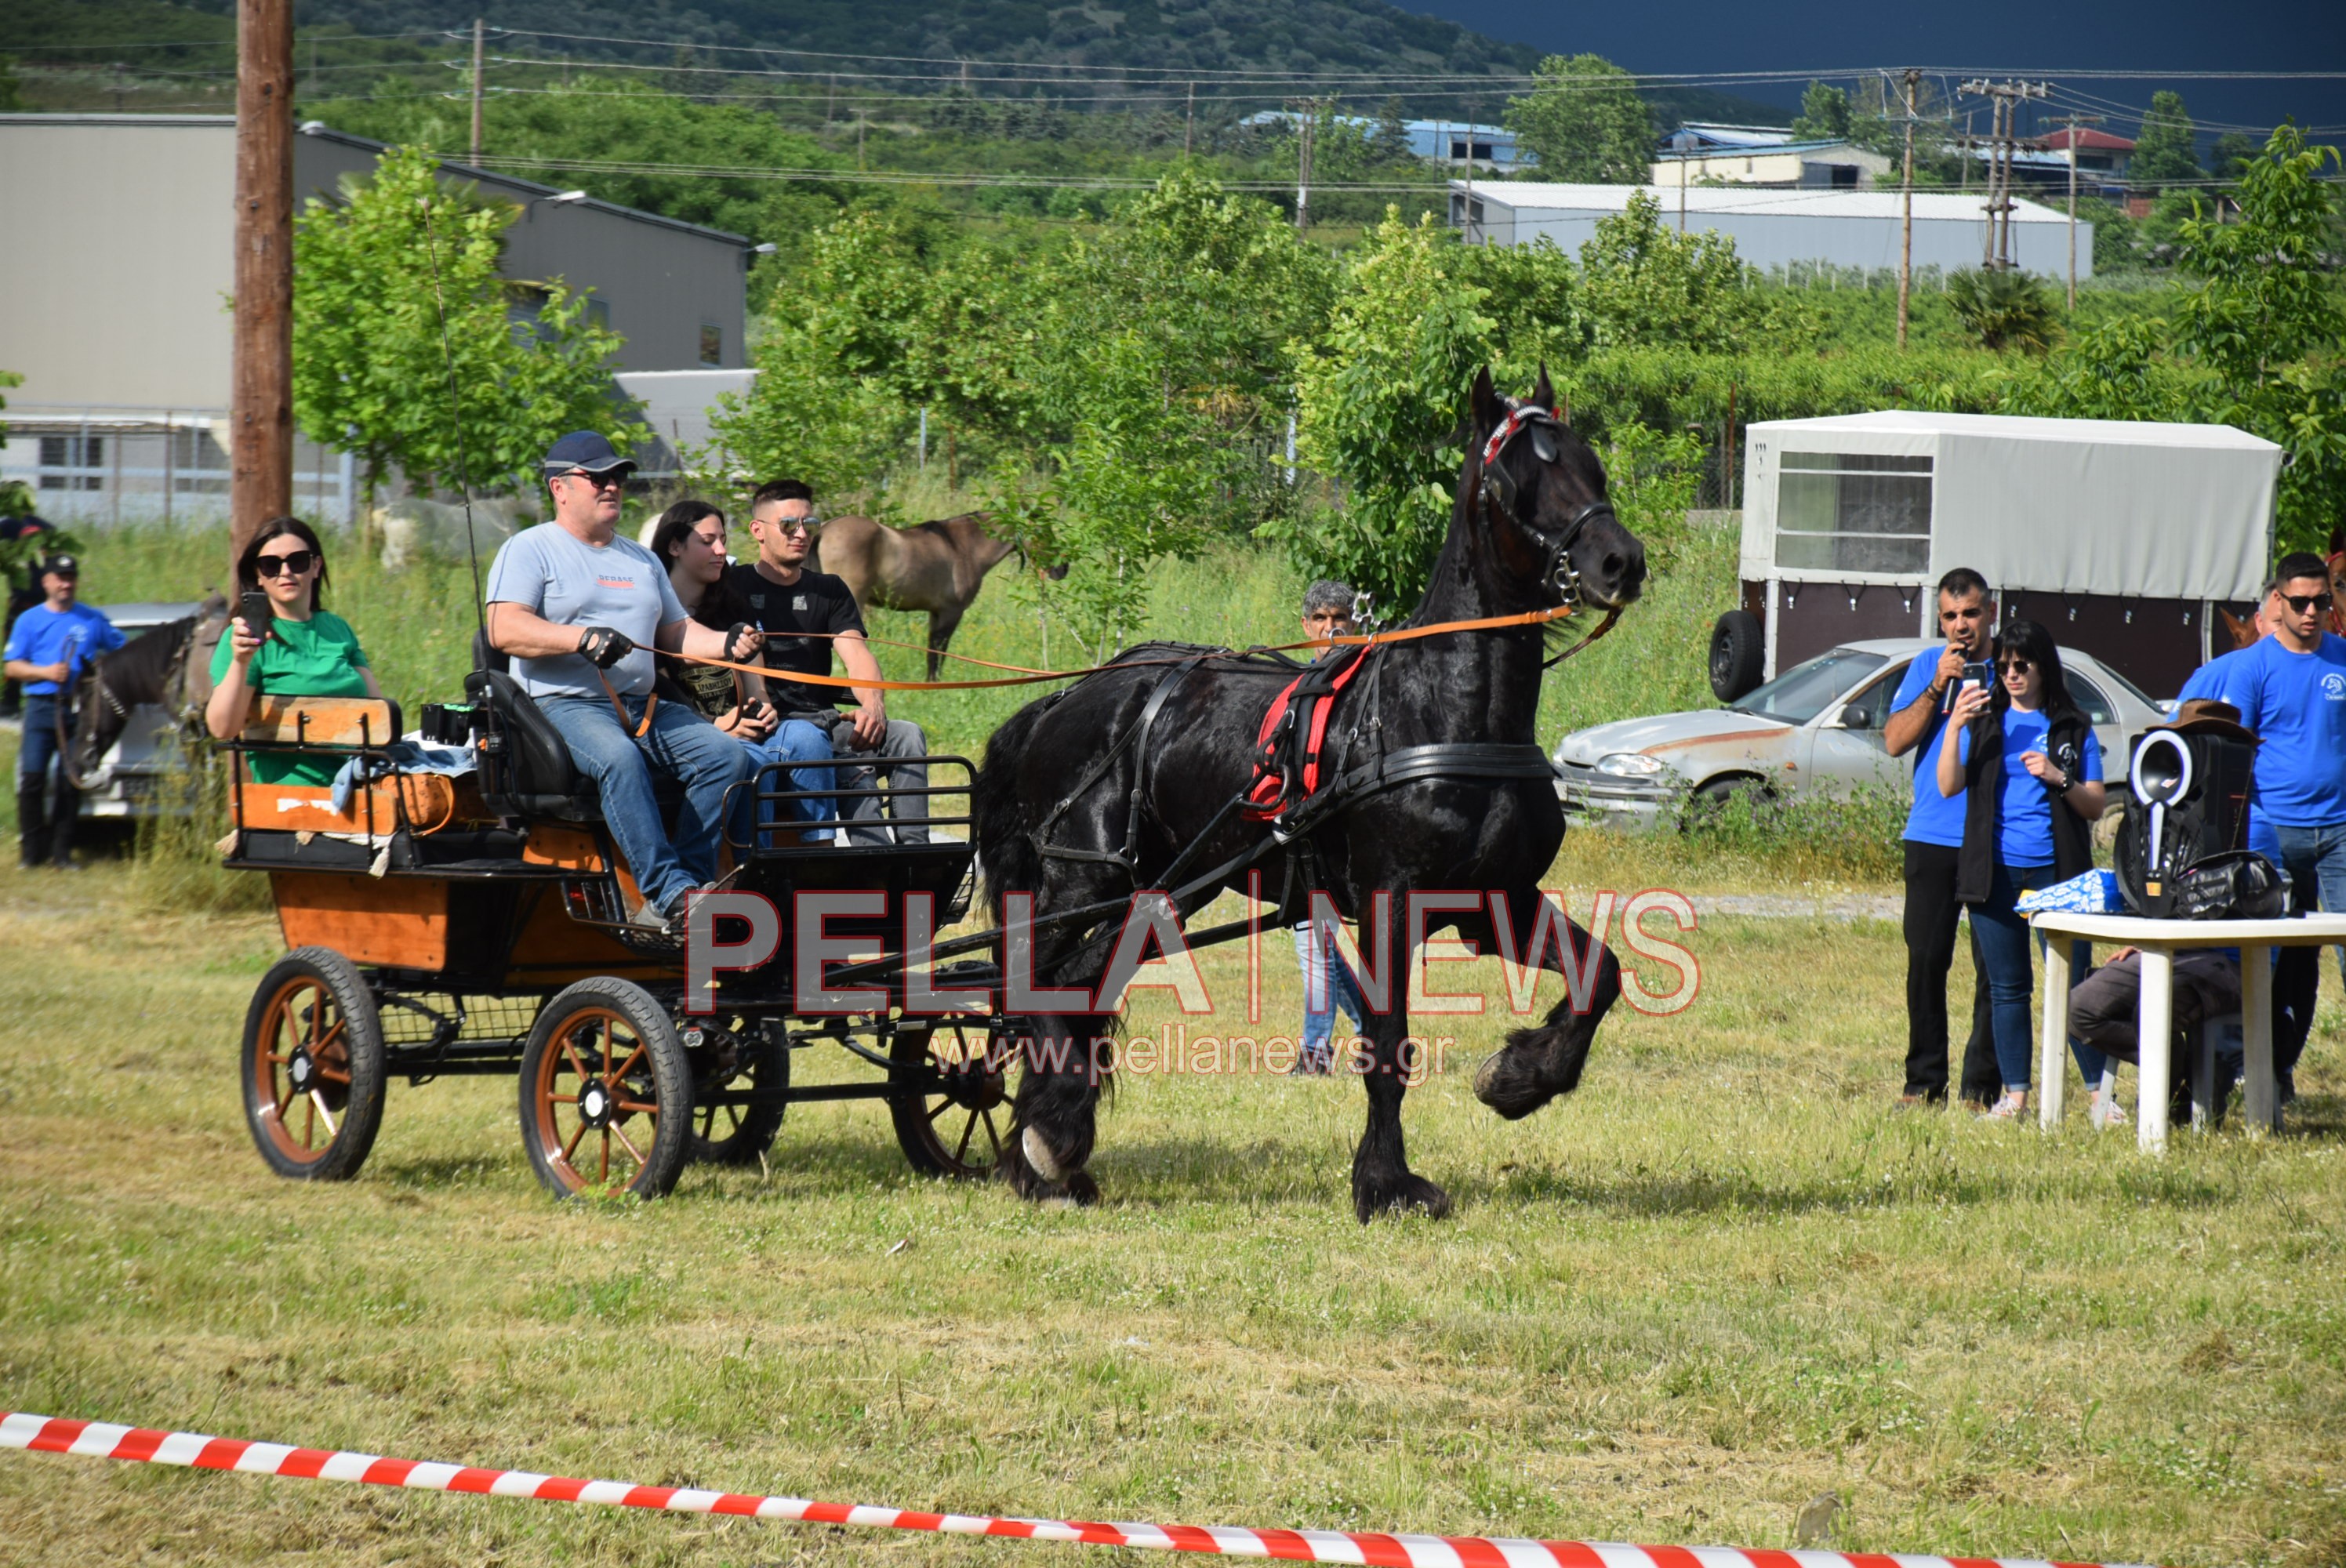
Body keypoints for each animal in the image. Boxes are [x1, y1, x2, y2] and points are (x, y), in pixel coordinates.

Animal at [807, 511, 1065, 676]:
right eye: (1044, 530)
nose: (1063, 568)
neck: (963, 547)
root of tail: (825, 530)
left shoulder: (936, 613)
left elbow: (931, 651)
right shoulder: (952, 612)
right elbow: (939, 653)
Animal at [971, 371, 1651, 1220]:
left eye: (1593, 467)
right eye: (1512, 479)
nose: (1620, 561)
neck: (1440, 712)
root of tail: (1062, 700)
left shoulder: (1495, 902)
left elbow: (1600, 974)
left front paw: (1517, 1078)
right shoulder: (1395, 902)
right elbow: (1388, 1041)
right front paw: (1387, 1182)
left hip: (1164, 893)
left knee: (1083, 985)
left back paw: (1055, 1148)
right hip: (1081, 878)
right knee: (1040, 978)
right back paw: (1047, 1144)